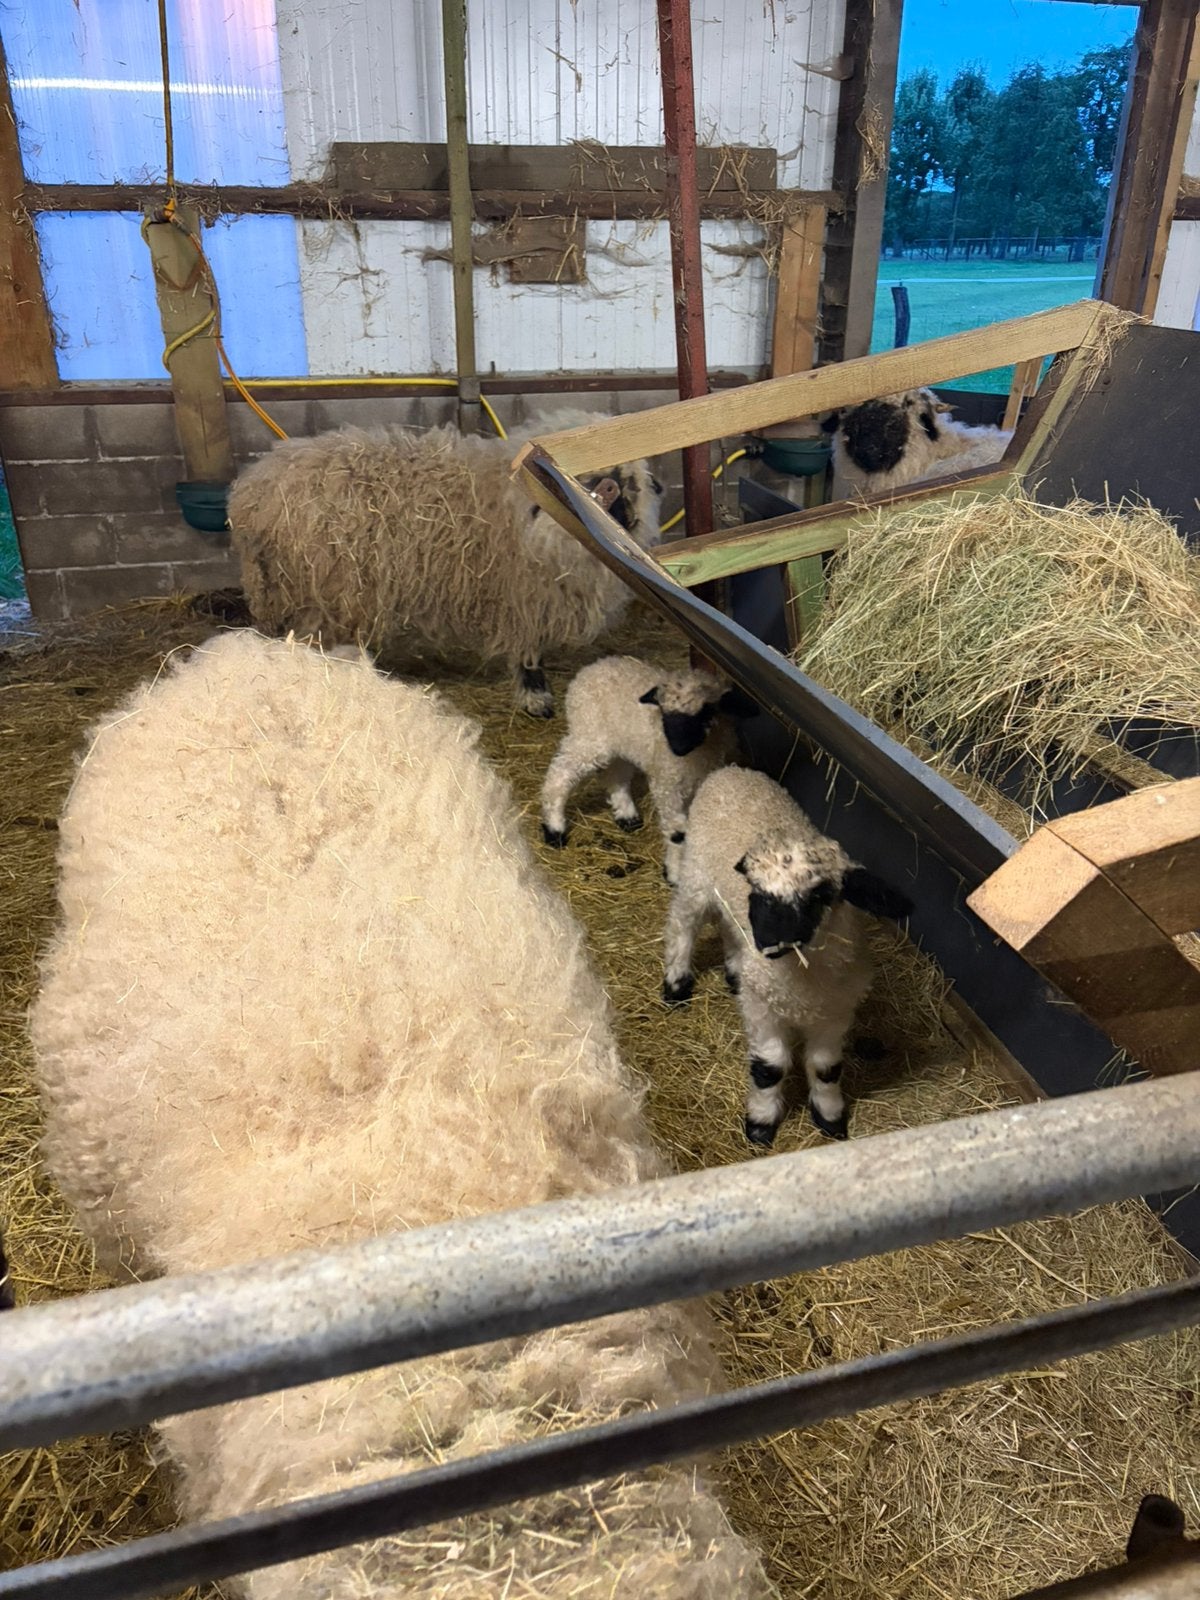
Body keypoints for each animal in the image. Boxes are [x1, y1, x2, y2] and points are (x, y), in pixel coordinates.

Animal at [227, 409, 664, 720]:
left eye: (629, 482)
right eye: (584, 485)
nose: (619, 510)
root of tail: (250, 490)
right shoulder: (523, 596)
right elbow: (529, 651)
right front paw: (535, 696)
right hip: (318, 593)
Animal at [540, 655, 758, 884]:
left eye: (706, 712)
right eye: (664, 712)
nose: (678, 748)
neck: (696, 757)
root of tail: (590, 669)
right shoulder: (667, 785)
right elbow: (677, 832)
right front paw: (674, 873)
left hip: (622, 743)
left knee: (616, 775)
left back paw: (627, 815)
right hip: (589, 736)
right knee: (560, 773)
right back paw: (554, 827)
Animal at [661, 766, 912, 1145]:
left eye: (821, 895)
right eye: (757, 891)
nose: (768, 941)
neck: (801, 982)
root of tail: (730, 770)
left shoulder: (835, 1012)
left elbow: (826, 1068)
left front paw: (830, 1117)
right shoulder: (764, 1010)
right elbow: (770, 1067)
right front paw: (761, 1122)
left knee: (730, 931)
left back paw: (734, 972)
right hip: (696, 877)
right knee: (683, 924)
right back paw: (676, 983)